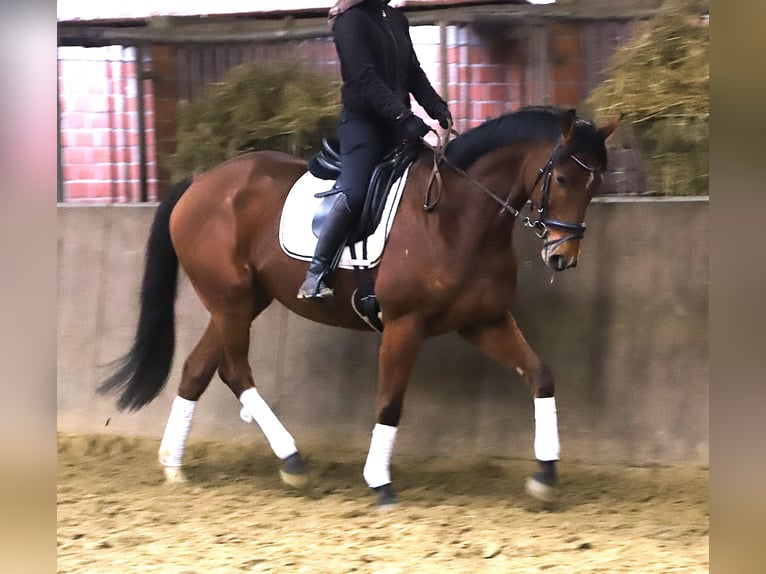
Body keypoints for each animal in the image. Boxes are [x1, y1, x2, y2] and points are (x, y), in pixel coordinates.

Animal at [98, 105, 619, 507]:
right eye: (564, 177)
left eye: (595, 185)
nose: (562, 257)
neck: (457, 217)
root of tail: (200, 181)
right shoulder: (404, 325)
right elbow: (390, 402)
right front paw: (380, 483)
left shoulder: (484, 321)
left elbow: (540, 376)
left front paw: (545, 474)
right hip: (230, 301)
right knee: (234, 372)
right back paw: (291, 461)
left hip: (242, 302)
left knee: (197, 370)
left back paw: (174, 466)